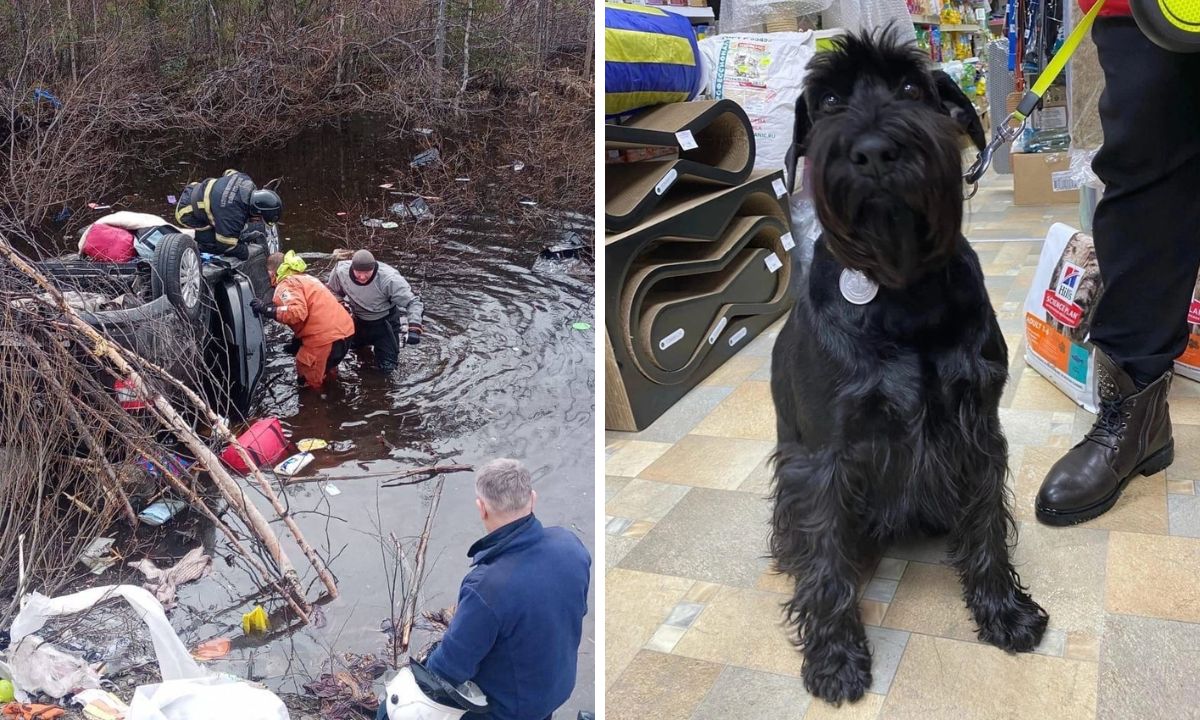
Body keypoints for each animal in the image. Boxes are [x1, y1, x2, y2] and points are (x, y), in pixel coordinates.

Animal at [772, 30, 1046, 705]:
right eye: (830, 100)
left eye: (909, 88)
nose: (874, 152)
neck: (900, 293)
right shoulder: (824, 459)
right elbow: (825, 562)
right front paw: (835, 657)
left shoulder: (977, 431)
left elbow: (988, 528)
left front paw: (1004, 611)